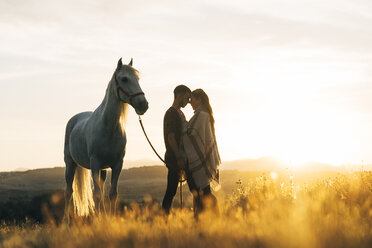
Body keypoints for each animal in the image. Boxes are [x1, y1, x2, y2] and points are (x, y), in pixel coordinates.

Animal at [63, 57, 147, 219]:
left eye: (138, 79)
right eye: (124, 79)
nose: (143, 104)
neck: (109, 128)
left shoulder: (117, 164)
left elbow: (112, 194)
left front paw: (110, 220)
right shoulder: (95, 164)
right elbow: (96, 195)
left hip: (102, 170)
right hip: (70, 164)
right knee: (69, 192)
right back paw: (66, 222)